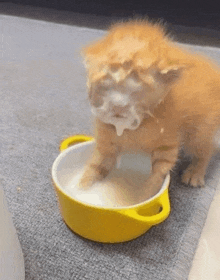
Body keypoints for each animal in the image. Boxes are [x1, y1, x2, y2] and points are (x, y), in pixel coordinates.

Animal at [78, 19, 220, 199]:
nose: (118, 105)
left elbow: (155, 179)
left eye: (136, 90)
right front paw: (82, 190)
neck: (133, 128)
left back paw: (196, 172)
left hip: (199, 131)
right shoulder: (106, 143)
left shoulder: (166, 147)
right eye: (107, 85)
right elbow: (95, 166)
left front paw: (143, 198)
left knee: (207, 149)